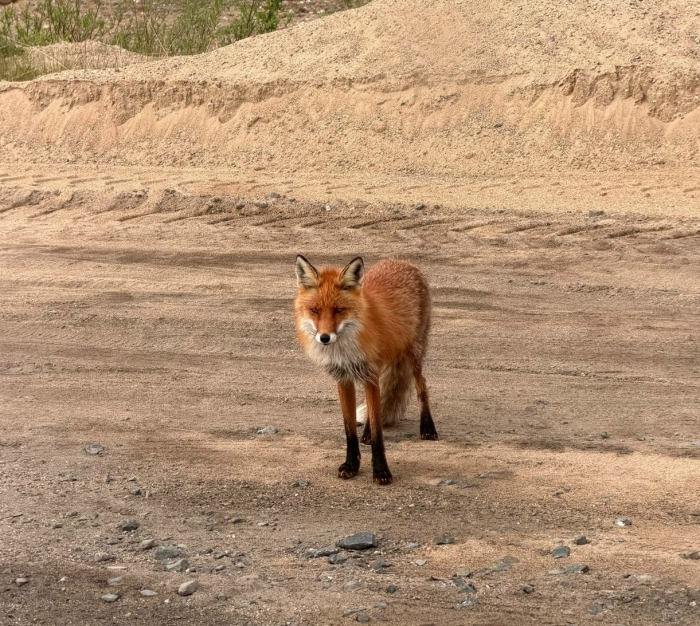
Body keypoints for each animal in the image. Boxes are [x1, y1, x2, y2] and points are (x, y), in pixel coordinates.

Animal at [294, 255, 438, 485]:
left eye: (339, 310)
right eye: (314, 310)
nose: (324, 338)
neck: (345, 349)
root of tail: (402, 260)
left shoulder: (370, 374)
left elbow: (379, 431)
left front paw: (381, 471)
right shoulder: (344, 379)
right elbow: (349, 429)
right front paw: (351, 465)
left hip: (413, 354)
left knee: (422, 386)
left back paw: (427, 427)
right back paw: (367, 433)